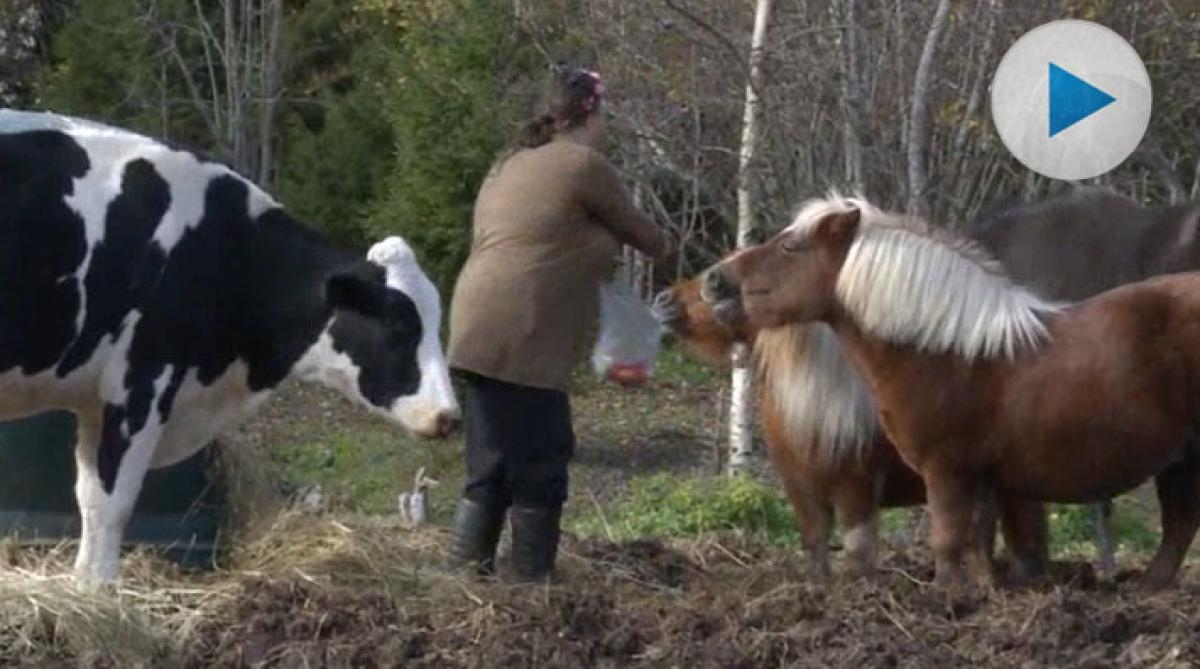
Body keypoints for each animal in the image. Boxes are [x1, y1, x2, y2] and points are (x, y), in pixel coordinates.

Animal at [0, 110, 460, 587]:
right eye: (399, 323)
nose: (449, 416)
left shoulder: (96, 402)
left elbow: (90, 502)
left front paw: (86, 590)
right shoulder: (142, 381)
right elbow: (113, 507)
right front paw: (102, 593)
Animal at [700, 195, 1200, 592]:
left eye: (790, 246)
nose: (713, 280)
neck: (950, 354)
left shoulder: (945, 472)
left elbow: (946, 542)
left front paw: (949, 597)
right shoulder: (981, 479)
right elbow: (977, 543)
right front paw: (986, 591)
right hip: (1178, 464)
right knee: (1178, 529)